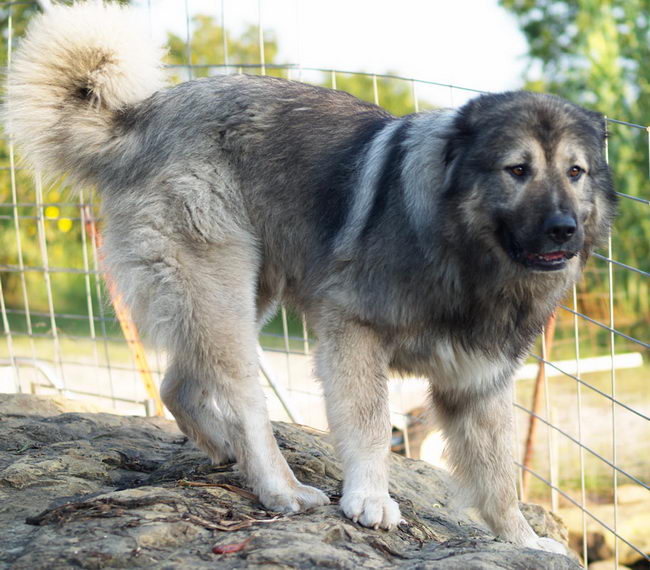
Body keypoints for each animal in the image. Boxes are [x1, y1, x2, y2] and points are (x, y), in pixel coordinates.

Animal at [7, 0, 616, 552]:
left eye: (575, 172)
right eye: (517, 170)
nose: (563, 230)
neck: (461, 248)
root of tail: (141, 118)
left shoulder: (479, 382)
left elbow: (499, 476)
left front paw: (524, 541)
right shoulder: (354, 332)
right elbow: (370, 425)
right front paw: (371, 498)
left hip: (243, 295)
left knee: (177, 382)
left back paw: (223, 449)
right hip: (222, 291)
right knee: (243, 401)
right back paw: (280, 487)